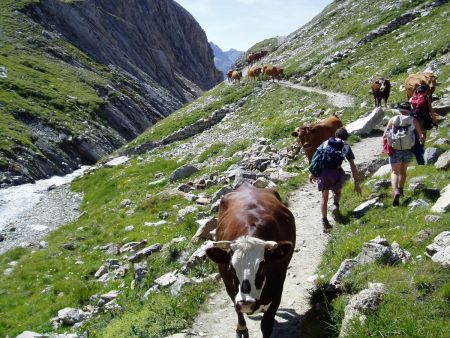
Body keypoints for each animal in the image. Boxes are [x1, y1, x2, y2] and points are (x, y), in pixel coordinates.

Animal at [205, 184, 296, 336]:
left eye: (263, 267)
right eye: (231, 268)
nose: (246, 303)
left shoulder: (278, 289)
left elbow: (266, 325)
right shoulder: (230, 287)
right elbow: (237, 311)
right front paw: (242, 329)